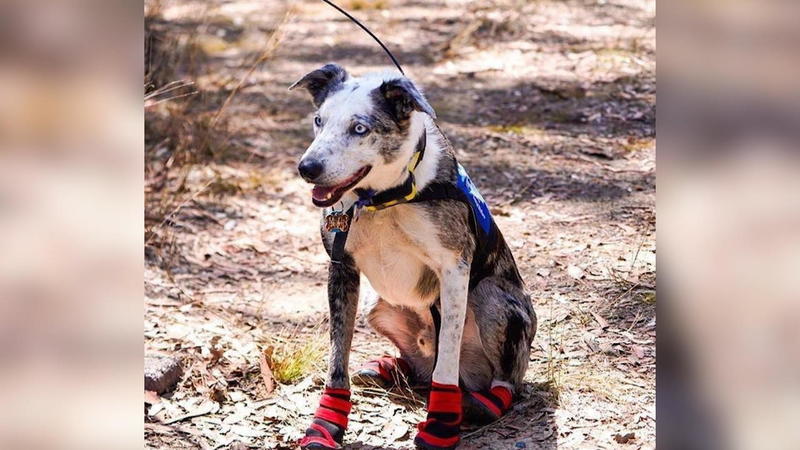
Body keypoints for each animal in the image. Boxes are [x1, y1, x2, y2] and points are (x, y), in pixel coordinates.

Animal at [290, 64, 536, 450]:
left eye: (359, 128)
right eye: (318, 120)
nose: (307, 168)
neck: (382, 199)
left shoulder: (454, 268)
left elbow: (446, 357)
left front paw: (441, 424)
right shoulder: (341, 267)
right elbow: (337, 356)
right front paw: (326, 424)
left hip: (492, 301)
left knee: (503, 378)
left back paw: (482, 402)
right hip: (376, 305)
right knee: (419, 367)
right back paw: (388, 368)